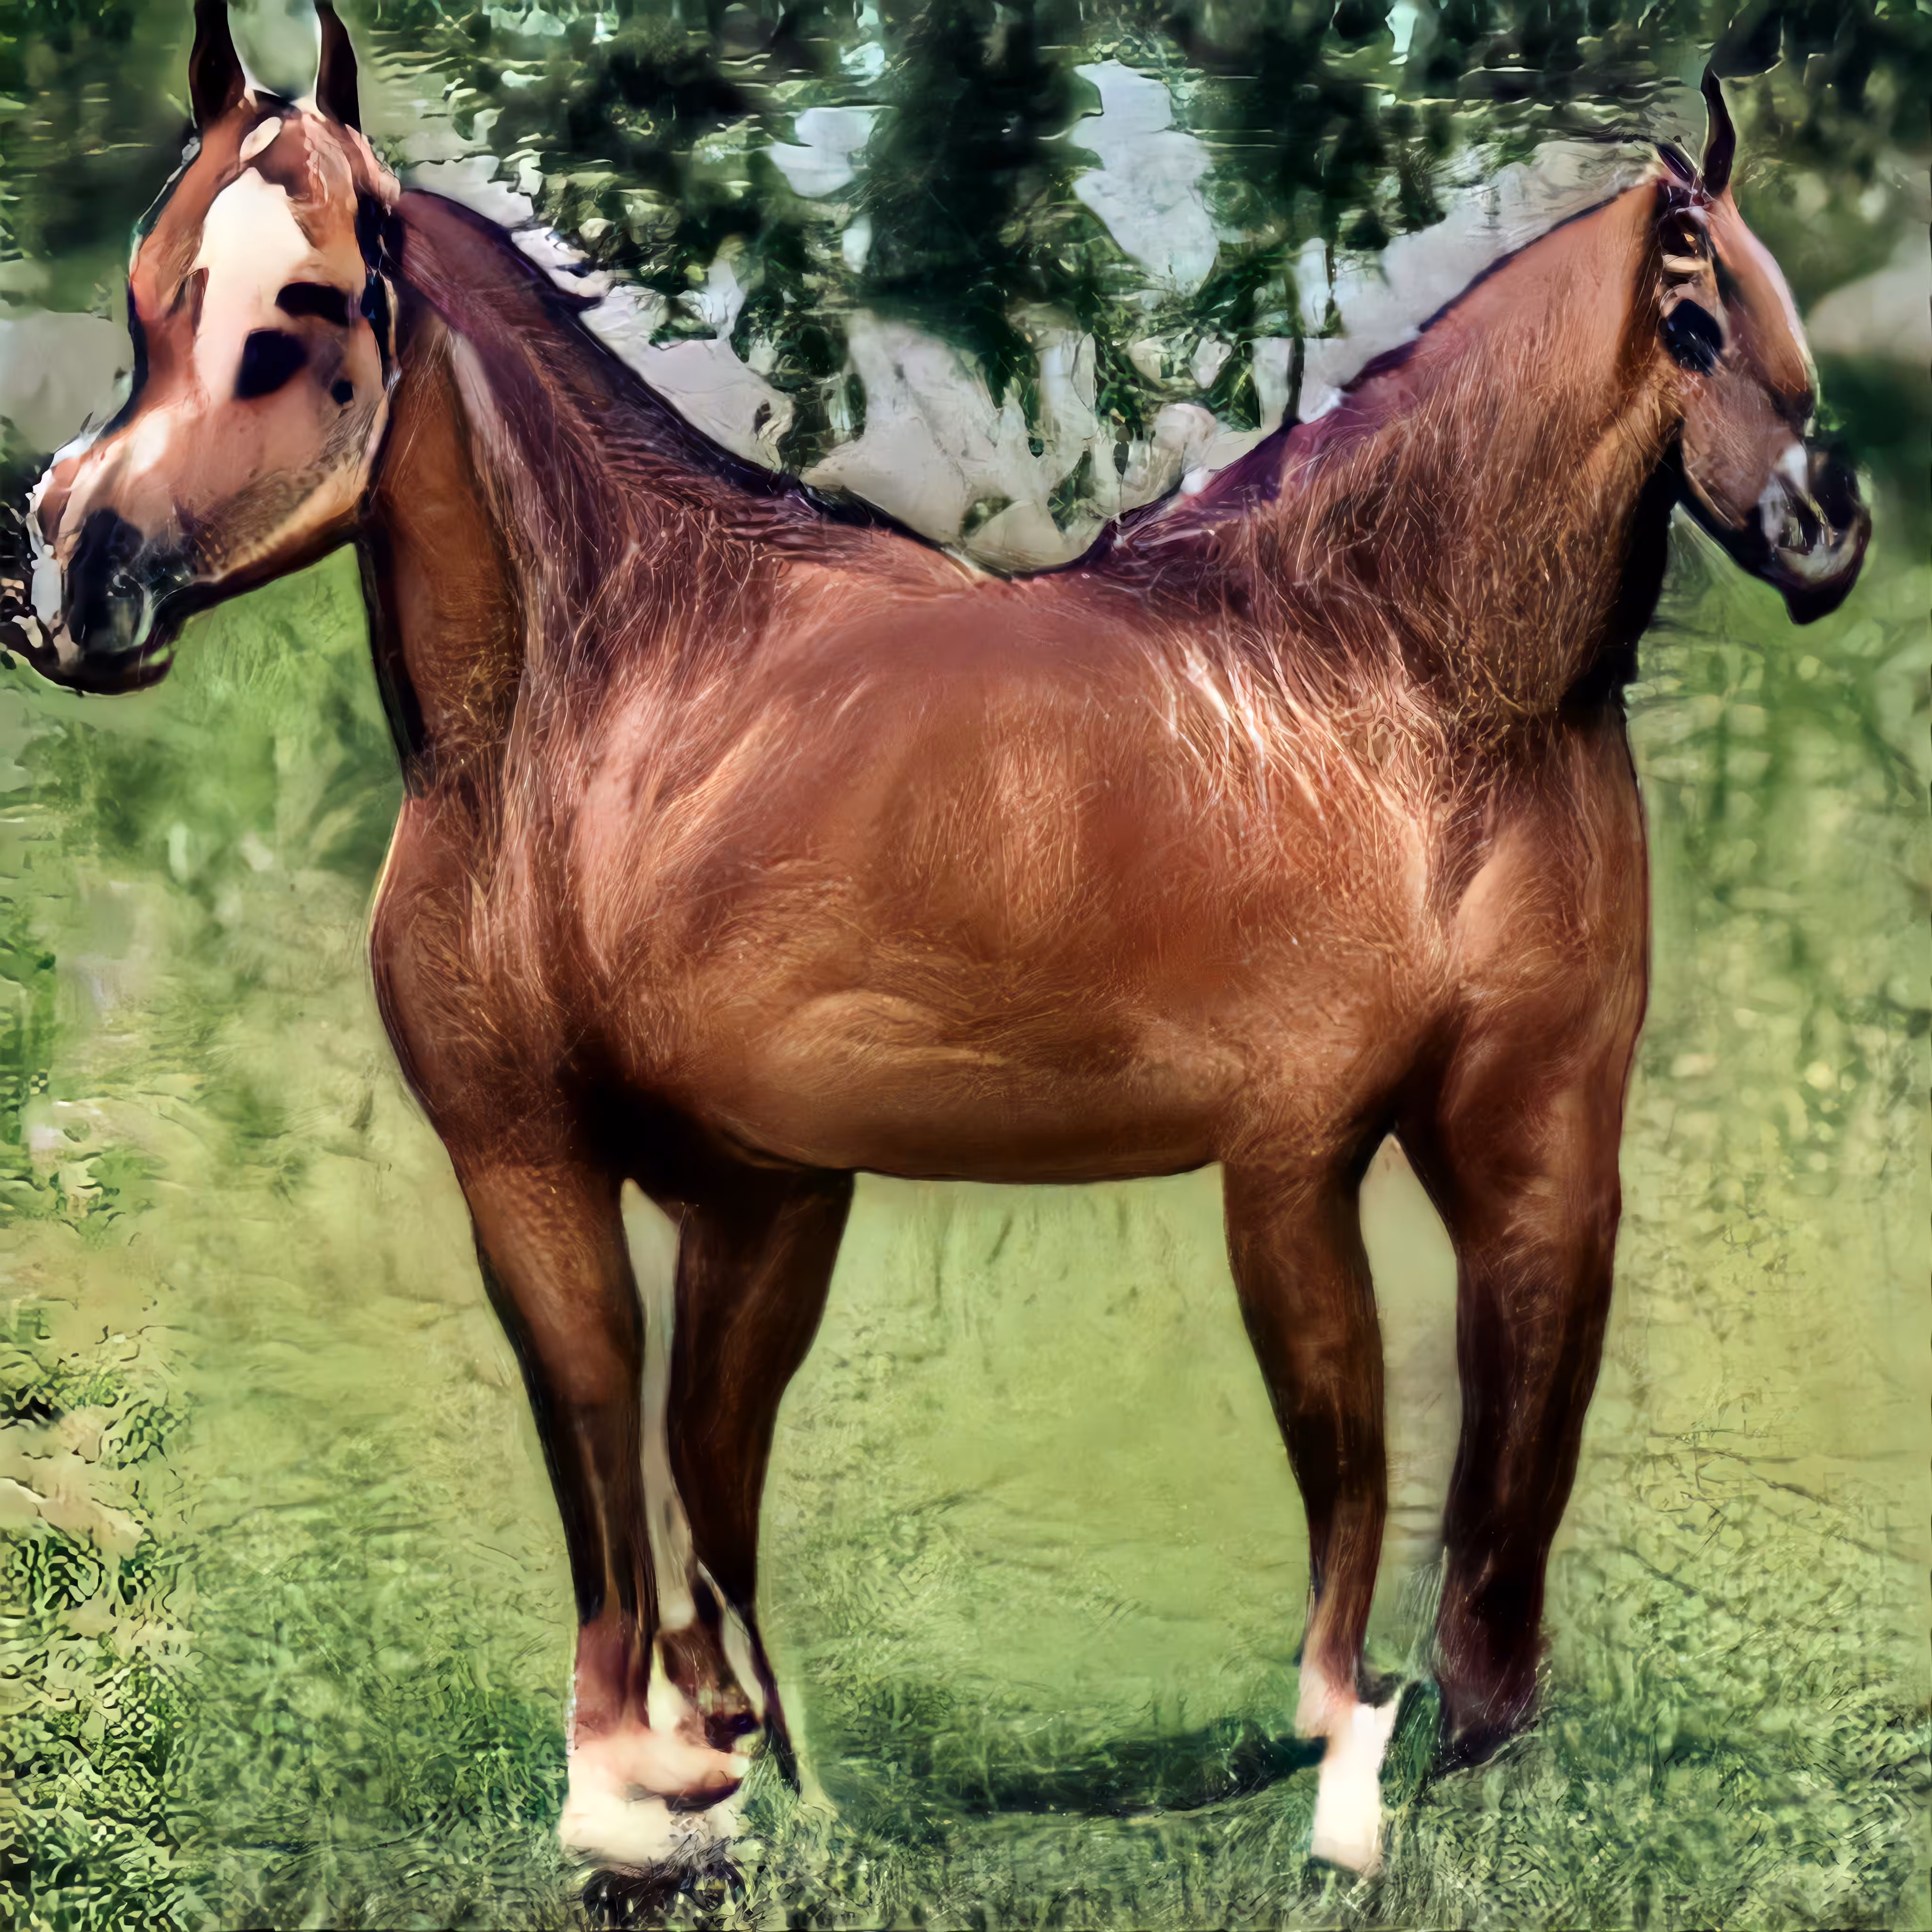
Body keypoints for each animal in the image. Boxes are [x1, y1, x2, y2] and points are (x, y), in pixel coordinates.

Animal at [11, 0, 1867, 1881]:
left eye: (310, 308)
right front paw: (712, 1778)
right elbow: (678, 1466)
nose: (75, 576)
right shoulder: (738, 1184)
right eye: (154, 300)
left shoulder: (1402, 1150)